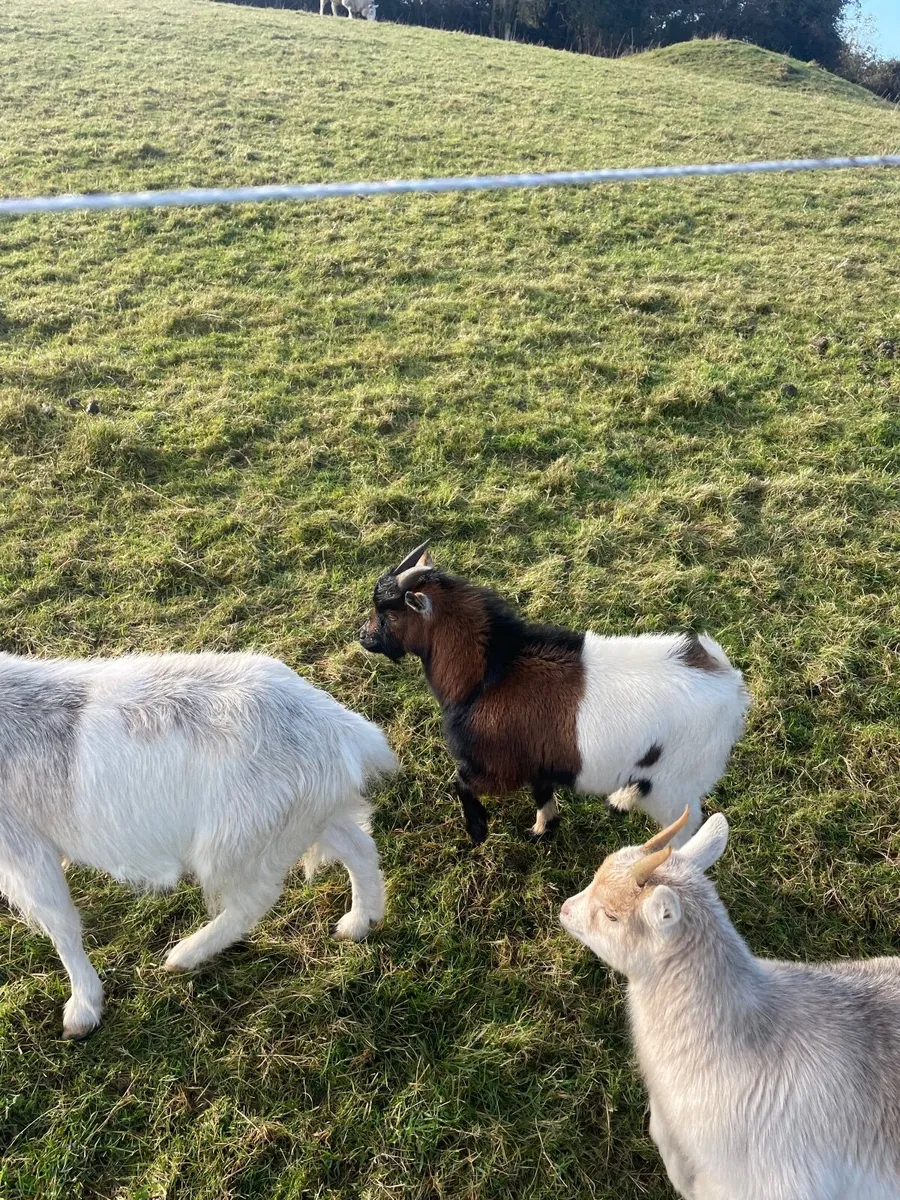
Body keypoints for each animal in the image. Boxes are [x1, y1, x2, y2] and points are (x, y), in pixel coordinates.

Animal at [0, 650, 396, 1039]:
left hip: (236, 845)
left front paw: (82, 1011)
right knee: (359, 846)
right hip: (301, 819)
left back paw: (184, 955)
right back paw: (359, 922)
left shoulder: (23, 848)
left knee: (255, 900)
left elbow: (60, 924)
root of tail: (340, 729)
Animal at [360, 542, 748, 847]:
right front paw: (544, 828)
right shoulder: (539, 759)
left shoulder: (499, 767)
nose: (362, 636)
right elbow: (542, 792)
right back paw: (619, 802)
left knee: (685, 827)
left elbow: (461, 783)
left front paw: (478, 831)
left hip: (676, 782)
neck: (489, 674)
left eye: (388, 612)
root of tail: (730, 684)